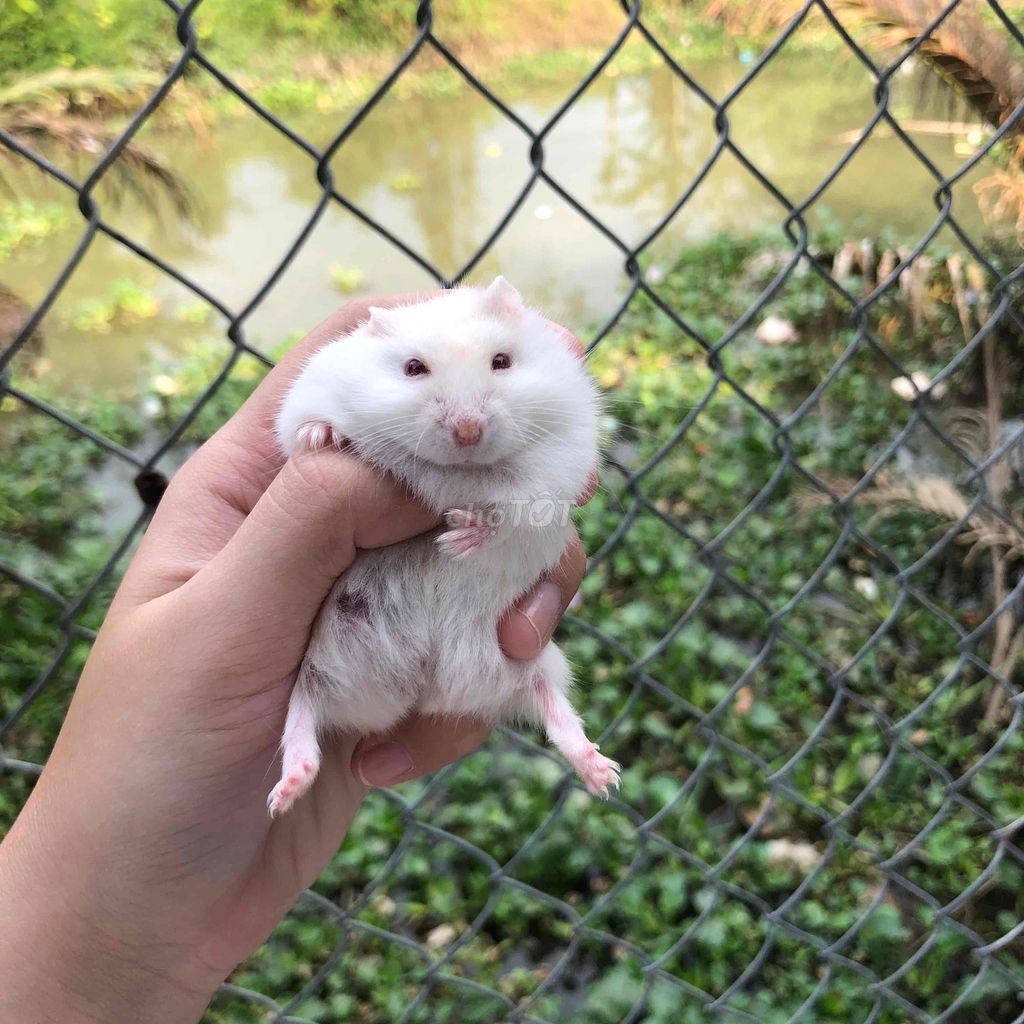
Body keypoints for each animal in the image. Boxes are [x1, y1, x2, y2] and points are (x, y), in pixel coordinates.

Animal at [268, 276, 619, 815]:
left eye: (502, 361)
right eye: (414, 368)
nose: (468, 431)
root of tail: (424, 693)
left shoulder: (562, 458)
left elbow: (515, 512)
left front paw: (457, 539)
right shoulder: (309, 392)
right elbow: (298, 431)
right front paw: (321, 436)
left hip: (536, 661)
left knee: (554, 709)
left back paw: (602, 774)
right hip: (317, 667)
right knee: (303, 713)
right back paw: (286, 792)